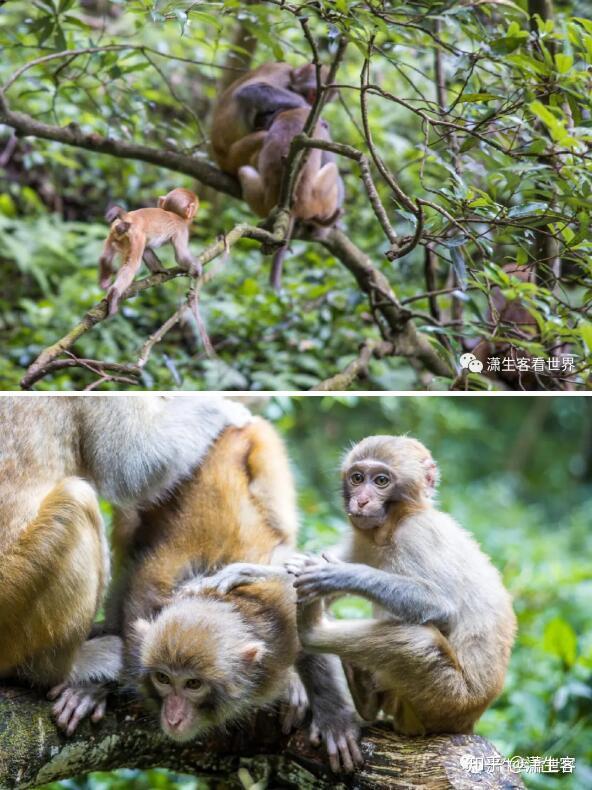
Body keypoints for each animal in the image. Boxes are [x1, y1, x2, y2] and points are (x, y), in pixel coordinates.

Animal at [96, 187, 200, 318]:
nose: (193, 218)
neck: (174, 214)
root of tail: (128, 218)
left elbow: (147, 249)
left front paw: (159, 270)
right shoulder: (182, 229)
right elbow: (181, 256)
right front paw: (197, 268)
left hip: (114, 232)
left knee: (105, 257)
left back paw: (105, 277)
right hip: (135, 236)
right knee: (132, 265)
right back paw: (114, 293)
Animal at [288, 436, 520, 740]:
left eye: (381, 481)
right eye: (357, 478)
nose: (361, 500)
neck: (393, 524)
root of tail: (468, 721)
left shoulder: (417, 534)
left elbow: (440, 605)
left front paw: (339, 574)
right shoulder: (360, 542)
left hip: (448, 699)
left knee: (419, 642)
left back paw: (312, 630)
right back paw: (364, 695)